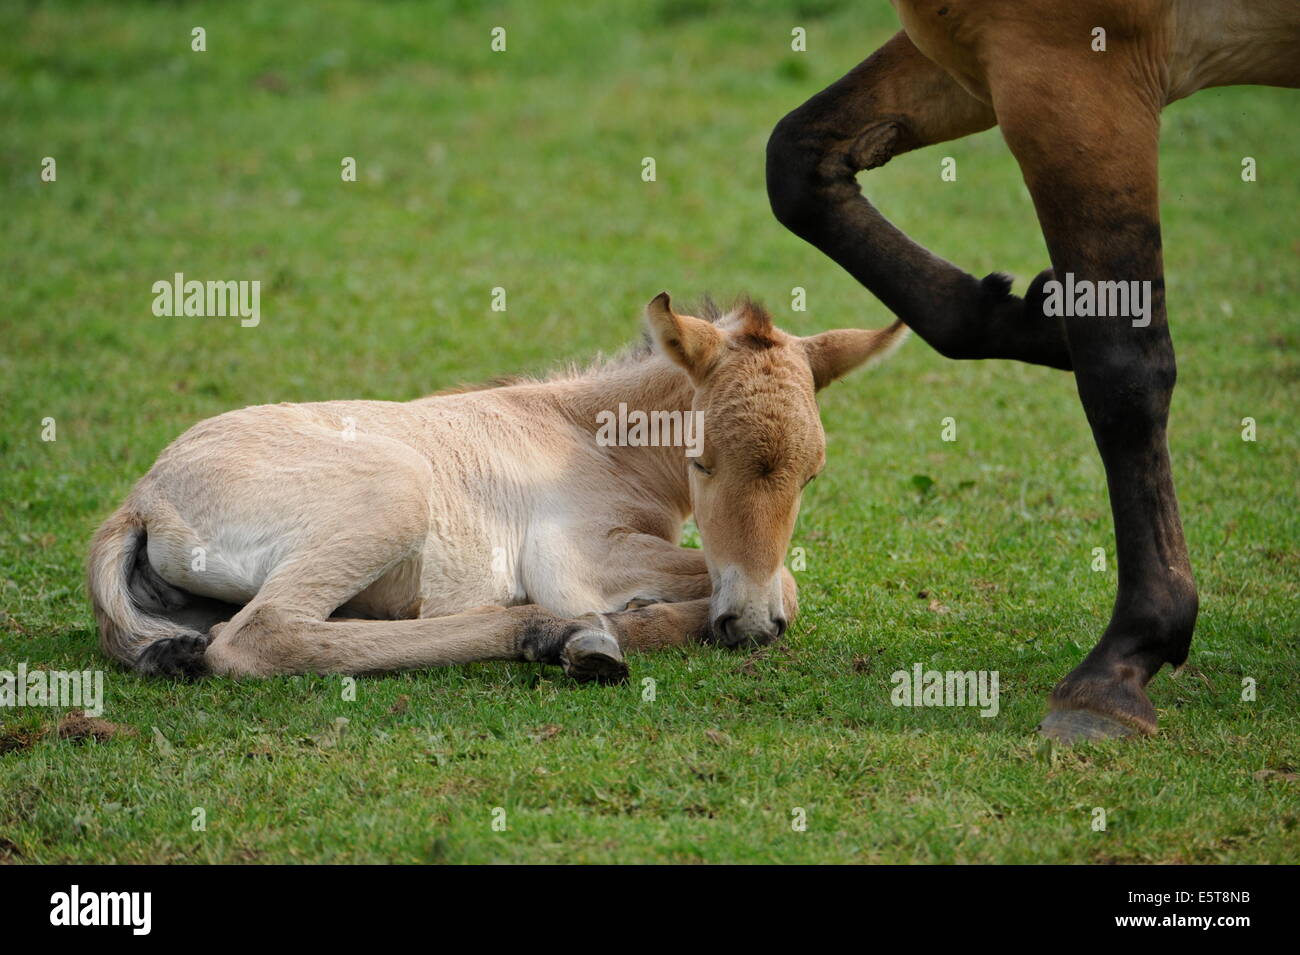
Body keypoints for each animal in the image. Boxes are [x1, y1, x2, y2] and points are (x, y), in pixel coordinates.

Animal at [88, 294, 907, 683]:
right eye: (701, 461)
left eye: (812, 474)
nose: (751, 626)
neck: (588, 434)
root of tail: (143, 497)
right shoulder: (575, 554)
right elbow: (783, 580)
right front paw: (633, 621)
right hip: (396, 493)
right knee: (262, 635)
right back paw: (555, 634)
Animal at [765, 0, 1300, 741]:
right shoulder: (974, 52)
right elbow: (796, 162)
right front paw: (1026, 320)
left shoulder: (1073, 77)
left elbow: (1123, 369)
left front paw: (1125, 657)